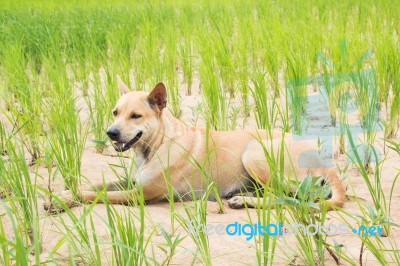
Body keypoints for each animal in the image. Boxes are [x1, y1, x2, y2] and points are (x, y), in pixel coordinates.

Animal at [43, 81, 344, 212]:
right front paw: (63, 194)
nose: (111, 133)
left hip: (255, 153)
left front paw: (64, 201)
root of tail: (325, 161)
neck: (158, 143)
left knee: (293, 198)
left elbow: (93, 195)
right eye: (115, 112)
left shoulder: (140, 194)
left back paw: (244, 200)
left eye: (136, 116)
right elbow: (93, 186)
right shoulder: (131, 181)